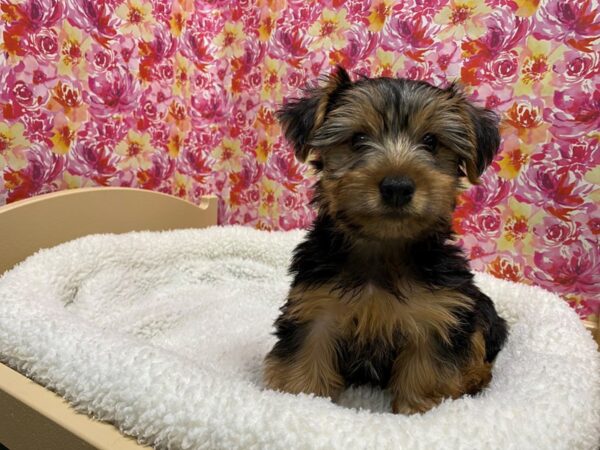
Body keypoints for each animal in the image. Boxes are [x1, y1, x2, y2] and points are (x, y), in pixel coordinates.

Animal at [264, 67, 508, 414]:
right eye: (357, 139)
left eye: (431, 142)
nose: (397, 186)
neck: (383, 245)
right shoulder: (315, 306)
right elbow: (306, 356)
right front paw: (301, 398)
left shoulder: (438, 314)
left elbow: (427, 371)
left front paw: (417, 410)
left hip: (479, 309)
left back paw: (474, 377)